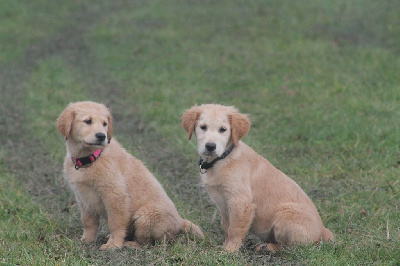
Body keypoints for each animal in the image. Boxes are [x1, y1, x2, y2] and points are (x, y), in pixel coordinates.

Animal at [56, 101, 203, 249]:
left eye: (104, 124)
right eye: (88, 121)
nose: (102, 136)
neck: (90, 159)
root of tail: (180, 221)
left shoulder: (115, 195)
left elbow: (115, 223)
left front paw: (113, 245)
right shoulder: (83, 198)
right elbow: (88, 222)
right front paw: (86, 240)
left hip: (146, 216)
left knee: (148, 243)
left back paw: (131, 243)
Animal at [182, 103, 334, 251]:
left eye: (223, 129)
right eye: (203, 127)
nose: (210, 146)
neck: (222, 159)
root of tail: (323, 230)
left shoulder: (240, 201)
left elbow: (235, 229)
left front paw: (230, 250)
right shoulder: (223, 204)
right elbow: (226, 227)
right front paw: (225, 245)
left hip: (285, 215)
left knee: (293, 248)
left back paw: (268, 247)